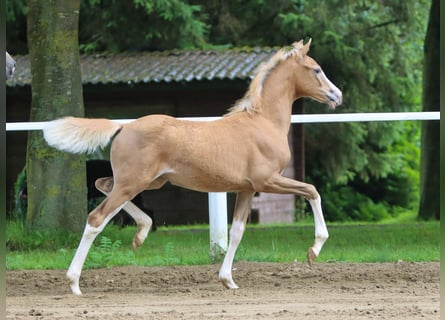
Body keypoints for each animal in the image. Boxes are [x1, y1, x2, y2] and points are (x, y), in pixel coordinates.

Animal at [44, 39, 340, 296]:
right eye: (317, 69)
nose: (337, 95)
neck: (263, 122)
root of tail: (123, 127)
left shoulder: (246, 189)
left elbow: (236, 232)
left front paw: (228, 280)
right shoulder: (267, 181)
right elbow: (312, 190)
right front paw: (314, 250)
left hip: (146, 181)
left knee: (103, 185)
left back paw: (141, 232)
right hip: (134, 182)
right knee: (96, 218)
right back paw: (74, 283)